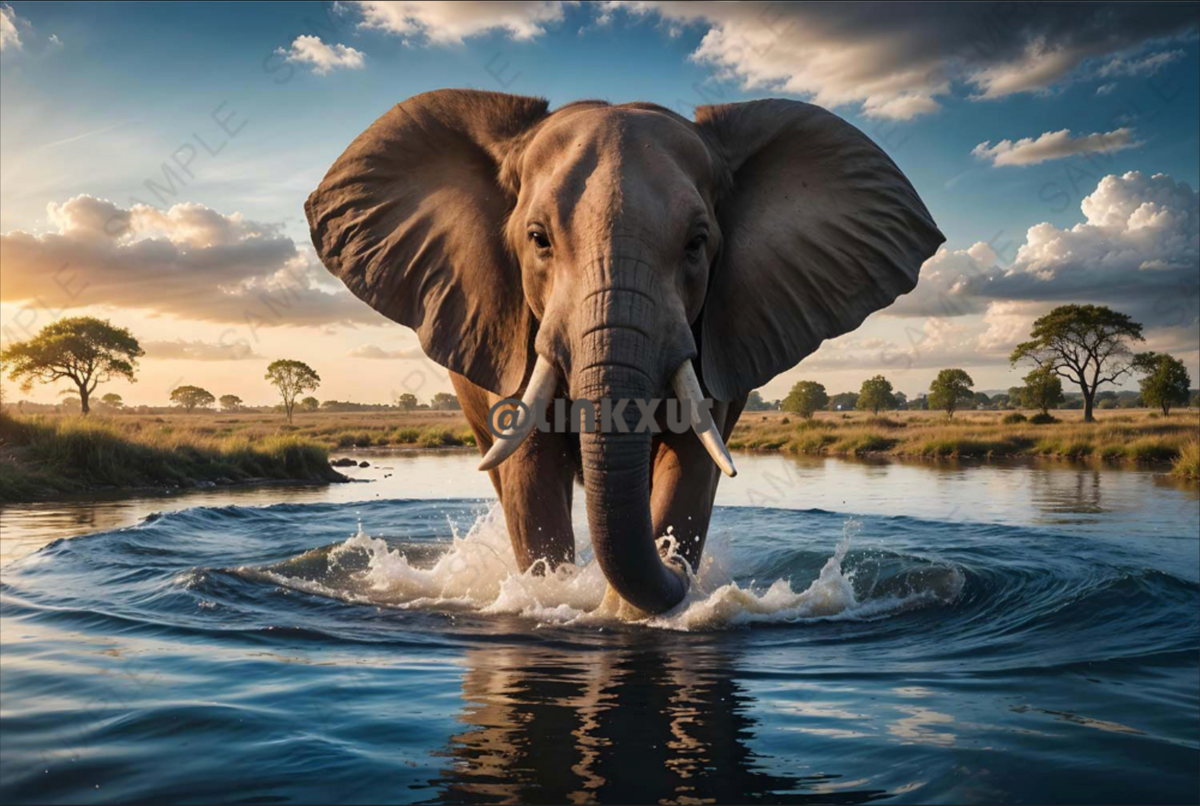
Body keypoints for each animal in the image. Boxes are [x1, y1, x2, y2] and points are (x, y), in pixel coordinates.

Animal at [307, 89, 943, 615]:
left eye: (697, 244)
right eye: (537, 239)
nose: (677, 571)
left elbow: (691, 460)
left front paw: (638, 603)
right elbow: (530, 467)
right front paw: (556, 594)